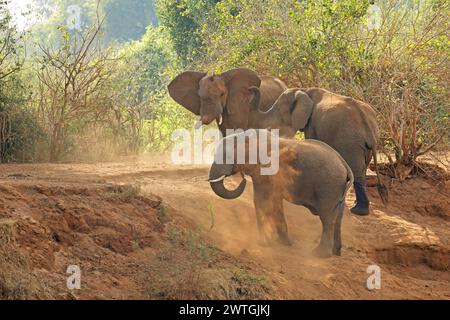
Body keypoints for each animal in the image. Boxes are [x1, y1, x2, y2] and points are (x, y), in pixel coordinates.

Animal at [208, 130, 356, 258]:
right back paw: (336, 252)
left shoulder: (265, 170)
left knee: (327, 218)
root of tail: (345, 165)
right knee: (338, 218)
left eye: (227, 156)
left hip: (329, 187)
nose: (242, 179)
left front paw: (264, 244)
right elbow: (276, 202)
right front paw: (285, 243)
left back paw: (320, 254)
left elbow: (261, 200)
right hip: (337, 189)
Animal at [248, 85, 388, 215]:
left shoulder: (312, 124)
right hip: (362, 145)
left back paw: (358, 211)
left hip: (351, 143)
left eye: (278, 110)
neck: (303, 90)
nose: (250, 89)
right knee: (362, 170)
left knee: (357, 172)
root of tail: (368, 128)